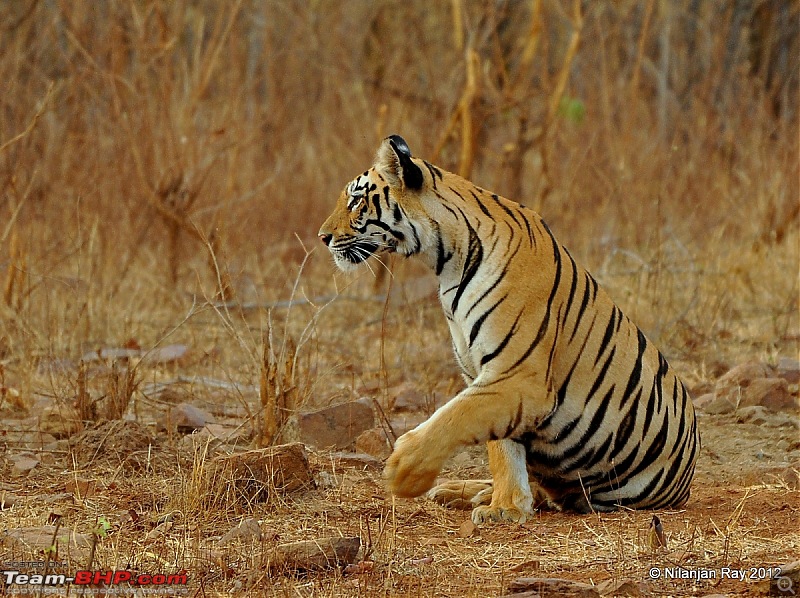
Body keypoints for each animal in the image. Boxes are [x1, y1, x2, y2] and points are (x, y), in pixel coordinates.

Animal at [318, 135, 700, 524]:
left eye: (355, 200)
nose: (323, 237)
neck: (445, 262)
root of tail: (684, 487)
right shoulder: (487, 374)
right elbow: (500, 445)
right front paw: (506, 504)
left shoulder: (519, 376)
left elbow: (456, 415)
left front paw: (404, 471)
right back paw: (462, 491)